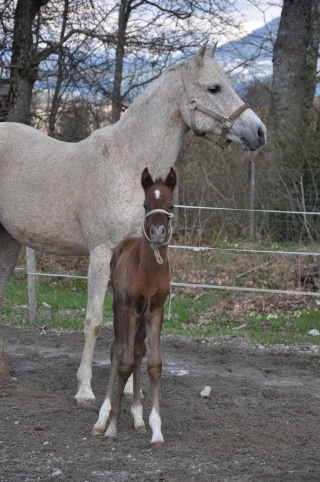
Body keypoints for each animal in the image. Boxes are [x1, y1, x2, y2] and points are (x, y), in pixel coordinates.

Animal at [0, 42, 264, 406]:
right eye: (214, 88)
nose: (260, 132)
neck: (126, 166)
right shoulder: (100, 253)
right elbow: (94, 322)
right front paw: (85, 390)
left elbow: (132, 327)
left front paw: (127, 390)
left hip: (9, 240)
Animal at [92, 168, 176, 446]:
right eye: (145, 205)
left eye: (171, 205)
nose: (158, 233)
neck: (149, 270)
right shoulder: (129, 310)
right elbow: (124, 361)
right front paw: (111, 426)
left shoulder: (155, 311)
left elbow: (154, 364)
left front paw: (156, 430)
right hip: (119, 308)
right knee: (117, 351)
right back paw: (102, 418)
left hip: (141, 317)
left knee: (138, 351)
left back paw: (139, 418)